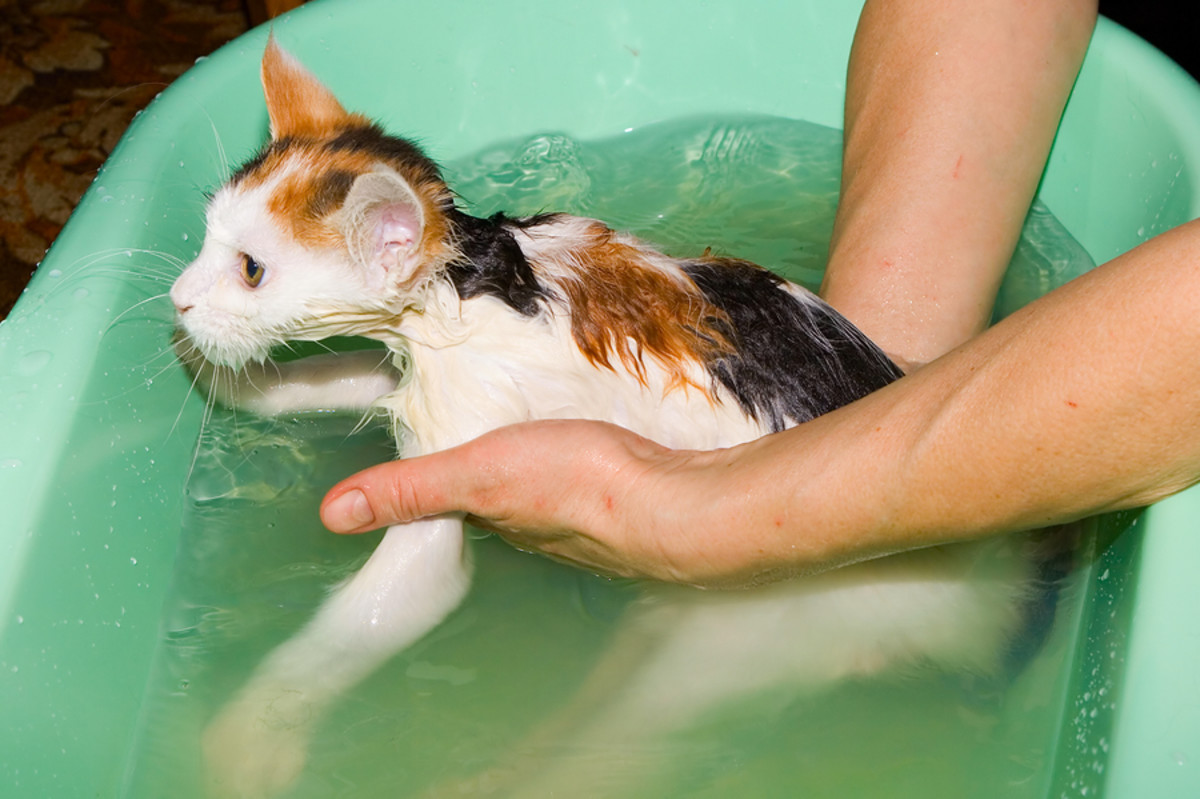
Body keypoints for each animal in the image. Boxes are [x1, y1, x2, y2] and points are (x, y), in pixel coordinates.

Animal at [169, 40, 1070, 791]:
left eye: (251, 269)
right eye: (208, 237)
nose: (178, 296)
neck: (464, 279)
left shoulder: (467, 426)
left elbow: (398, 595)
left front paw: (247, 739)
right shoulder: (415, 371)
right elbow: (344, 374)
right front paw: (228, 377)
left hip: (768, 627)